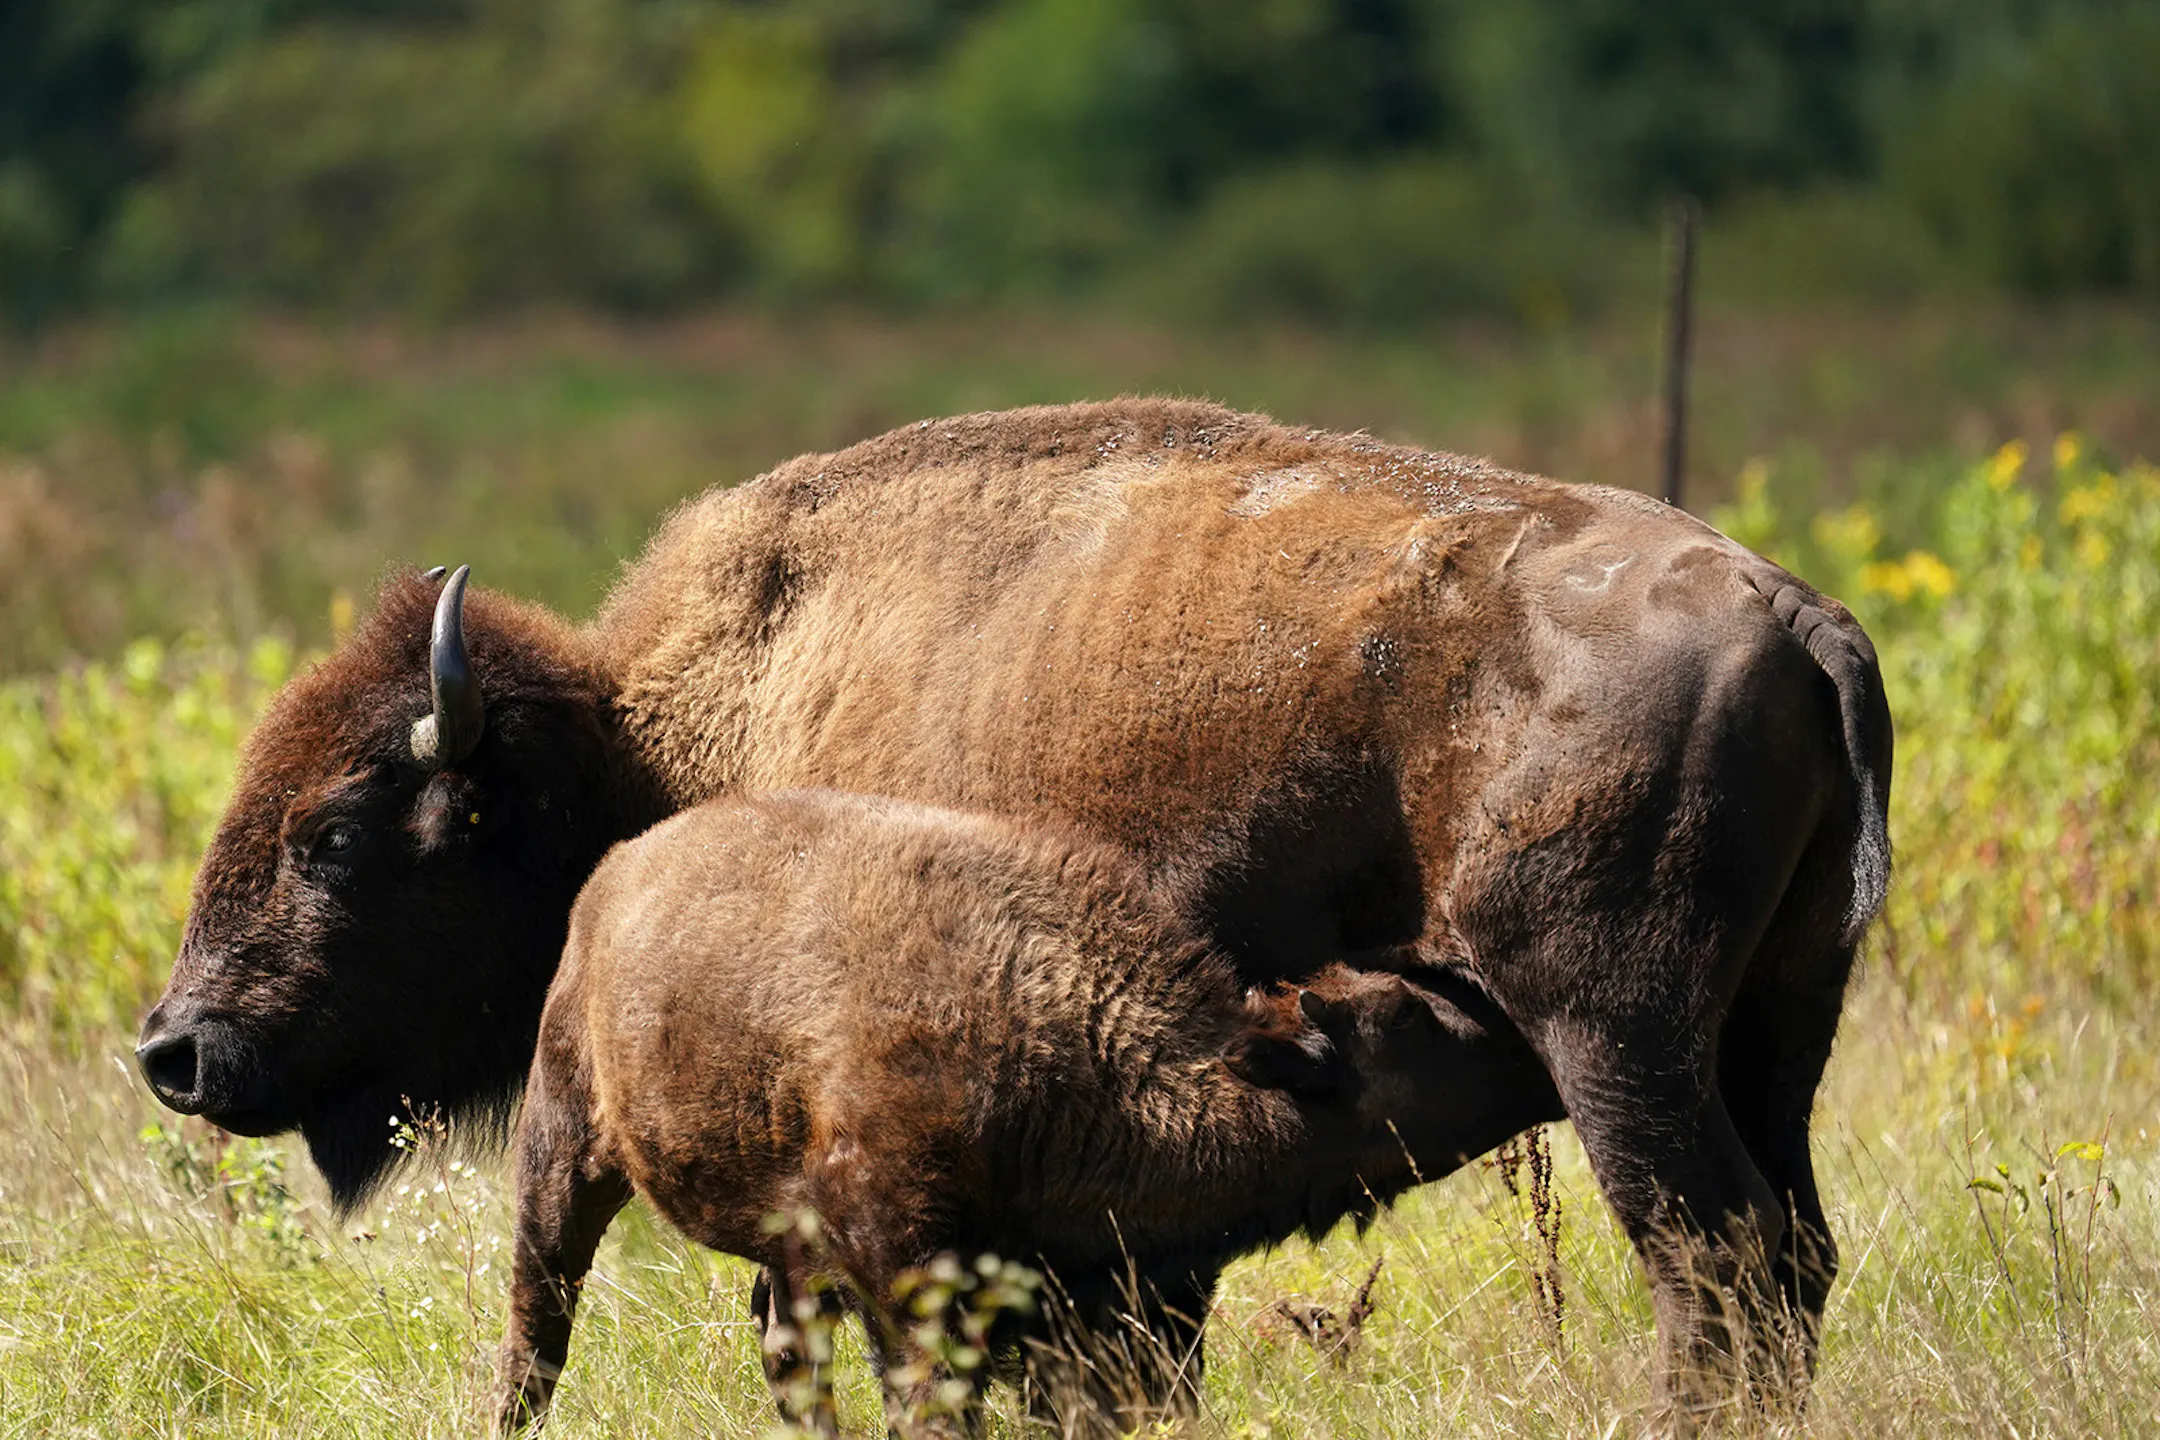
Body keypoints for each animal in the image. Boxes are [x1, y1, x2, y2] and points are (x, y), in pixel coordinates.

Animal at [140, 398, 1891, 1417]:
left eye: (338, 833)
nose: (176, 1052)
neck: (678, 725)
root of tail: (1796, 612)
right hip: (1777, 1026)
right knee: (1793, 1255)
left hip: (1615, 1039)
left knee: (1711, 1257)